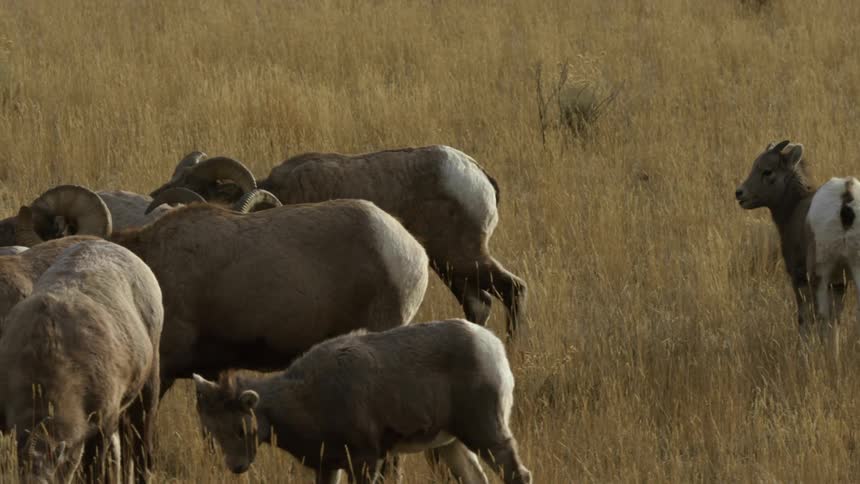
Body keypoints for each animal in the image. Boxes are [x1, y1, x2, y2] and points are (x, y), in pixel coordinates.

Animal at [149, 146, 528, 341]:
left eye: (197, 184)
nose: (153, 198)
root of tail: (476, 173)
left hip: (463, 258)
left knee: (514, 289)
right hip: (449, 266)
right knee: (480, 305)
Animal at [192, 319, 532, 484]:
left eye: (240, 428)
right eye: (213, 429)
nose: (236, 467)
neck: (308, 401)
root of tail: (493, 347)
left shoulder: (367, 459)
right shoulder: (329, 465)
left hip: (485, 432)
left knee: (518, 474)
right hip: (450, 443)